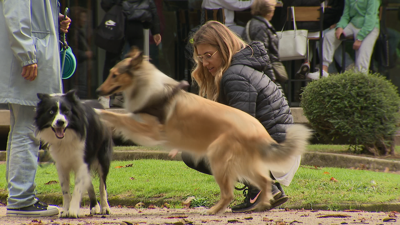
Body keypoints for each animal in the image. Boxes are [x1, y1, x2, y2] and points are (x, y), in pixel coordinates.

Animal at [34, 90, 113, 218]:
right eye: (51, 111)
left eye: (66, 111)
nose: (60, 122)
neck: (66, 137)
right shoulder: (61, 165)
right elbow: (65, 190)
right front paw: (66, 210)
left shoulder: (82, 162)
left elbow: (78, 189)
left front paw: (73, 210)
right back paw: (94, 206)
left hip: (103, 158)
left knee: (102, 185)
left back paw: (105, 207)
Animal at [94, 47, 312, 214]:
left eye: (114, 74)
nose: (97, 92)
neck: (146, 83)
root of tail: (260, 132)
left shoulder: (149, 129)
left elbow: (120, 117)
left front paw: (98, 112)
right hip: (245, 164)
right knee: (265, 181)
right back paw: (263, 204)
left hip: (218, 157)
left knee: (230, 192)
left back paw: (215, 210)